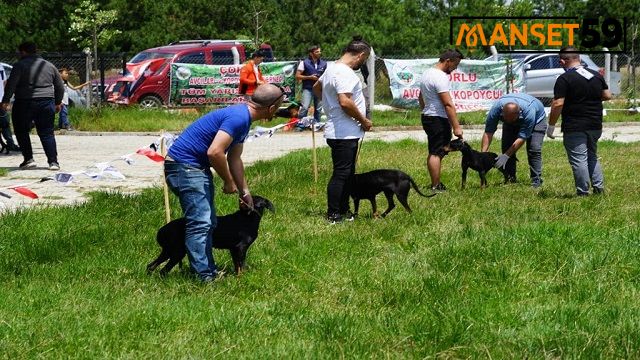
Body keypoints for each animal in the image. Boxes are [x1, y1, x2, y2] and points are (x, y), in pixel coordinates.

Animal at [148, 194, 276, 276]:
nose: (245, 205)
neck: (247, 218)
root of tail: (161, 230)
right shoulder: (240, 248)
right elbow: (241, 265)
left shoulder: (233, 249)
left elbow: (237, 266)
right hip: (177, 252)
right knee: (163, 270)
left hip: (168, 251)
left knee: (151, 266)